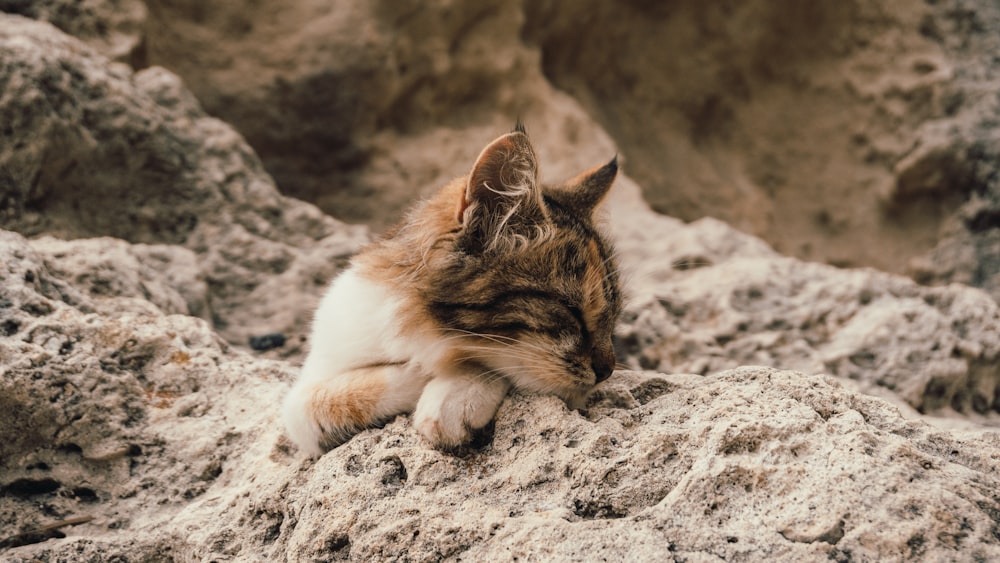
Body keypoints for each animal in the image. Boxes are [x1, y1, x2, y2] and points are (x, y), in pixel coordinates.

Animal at [282, 121, 620, 456]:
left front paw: (452, 397)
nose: (608, 372)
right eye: (571, 310)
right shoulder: (309, 386)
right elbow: (320, 402)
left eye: (613, 317)